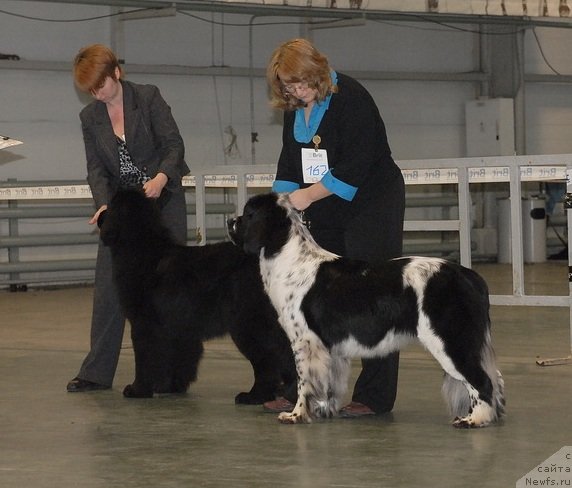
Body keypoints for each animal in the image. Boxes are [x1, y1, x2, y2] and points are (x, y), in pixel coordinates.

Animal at [98, 189, 292, 402]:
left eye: (110, 205)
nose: (100, 214)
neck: (142, 250)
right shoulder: (179, 327)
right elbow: (180, 358)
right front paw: (171, 386)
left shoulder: (144, 324)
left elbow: (145, 358)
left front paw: (138, 389)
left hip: (248, 325)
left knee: (268, 359)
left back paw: (255, 396)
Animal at [228, 192, 504, 428]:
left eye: (248, 213)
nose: (230, 220)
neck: (290, 257)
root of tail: (468, 275)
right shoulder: (328, 348)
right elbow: (328, 382)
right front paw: (323, 410)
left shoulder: (305, 341)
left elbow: (304, 382)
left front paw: (296, 414)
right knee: (496, 377)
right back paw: (495, 413)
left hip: (448, 341)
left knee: (481, 380)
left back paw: (474, 419)